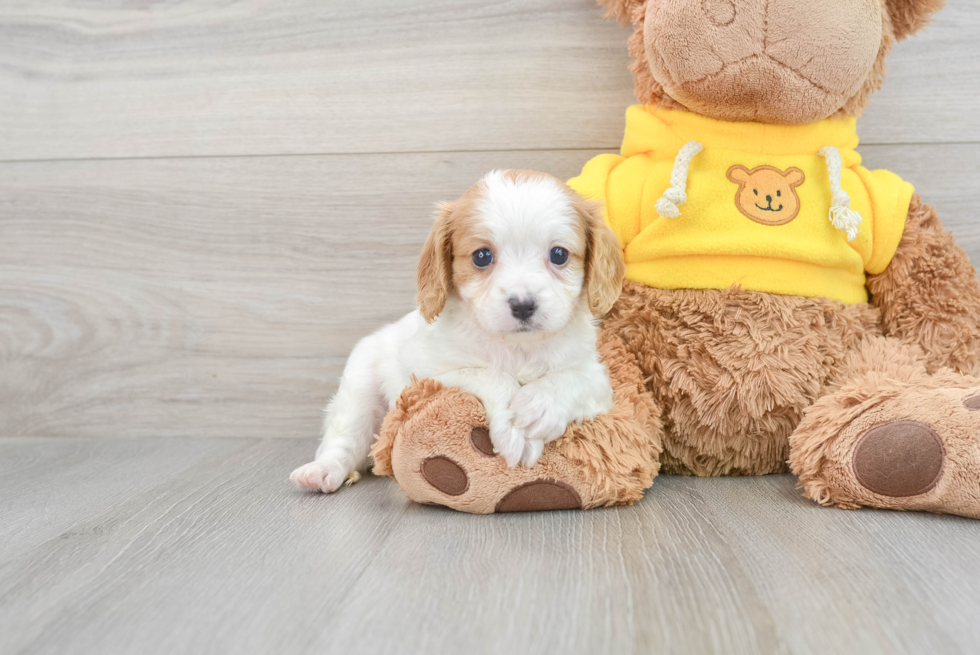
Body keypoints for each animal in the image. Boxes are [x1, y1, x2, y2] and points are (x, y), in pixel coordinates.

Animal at [292, 169, 628, 492]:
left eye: (559, 254)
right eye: (482, 256)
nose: (522, 305)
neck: (517, 348)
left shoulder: (595, 377)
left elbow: (572, 380)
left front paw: (538, 408)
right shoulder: (427, 375)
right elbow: (490, 375)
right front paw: (512, 426)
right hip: (360, 389)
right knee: (344, 440)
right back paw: (322, 471)